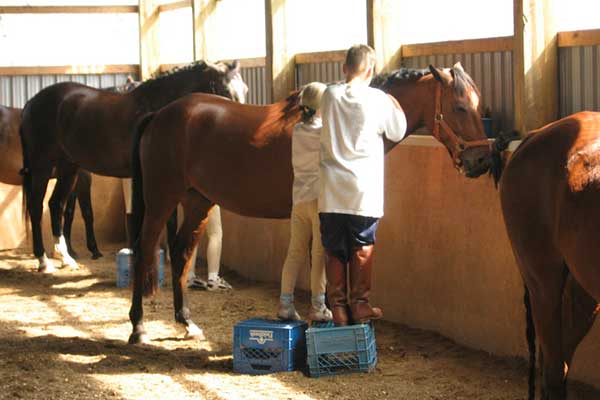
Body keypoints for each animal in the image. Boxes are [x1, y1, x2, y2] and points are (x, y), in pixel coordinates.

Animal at [0, 104, 101, 260]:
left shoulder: (71, 178)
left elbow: (69, 213)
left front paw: (69, 250)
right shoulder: (83, 177)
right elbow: (87, 212)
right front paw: (94, 249)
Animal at [19, 60, 247, 272]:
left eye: (245, 89)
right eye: (225, 89)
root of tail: (31, 102)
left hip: (68, 168)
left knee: (56, 205)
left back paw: (66, 258)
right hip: (42, 167)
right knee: (36, 207)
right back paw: (43, 261)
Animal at [126, 62, 492, 344]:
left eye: (478, 106)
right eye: (459, 107)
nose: (481, 161)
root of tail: (159, 115)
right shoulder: (324, 215)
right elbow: (326, 265)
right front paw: (327, 314)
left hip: (198, 202)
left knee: (181, 253)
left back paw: (186, 322)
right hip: (160, 200)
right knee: (145, 250)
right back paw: (138, 327)